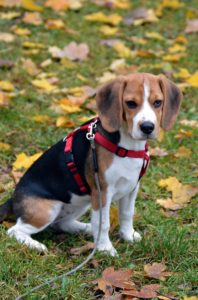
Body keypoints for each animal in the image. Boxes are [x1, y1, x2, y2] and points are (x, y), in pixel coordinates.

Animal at [0, 72, 182, 255]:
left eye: (157, 102)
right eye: (131, 103)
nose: (147, 127)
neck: (127, 145)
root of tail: (12, 199)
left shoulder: (131, 187)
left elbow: (127, 213)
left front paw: (128, 236)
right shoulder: (102, 191)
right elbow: (103, 223)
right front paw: (105, 248)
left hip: (79, 202)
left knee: (61, 224)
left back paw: (86, 229)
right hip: (48, 208)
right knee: (14, 230)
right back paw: (36, 245)